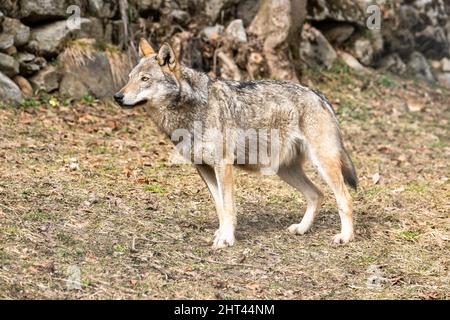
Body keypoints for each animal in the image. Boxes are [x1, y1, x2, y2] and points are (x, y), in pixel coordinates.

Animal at [114, 38, 356, 249]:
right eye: (130, 77)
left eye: (145, 79)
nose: (117, 96)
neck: (191, 109)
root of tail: (319, 94)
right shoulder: (203, 168)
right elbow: (220, 206)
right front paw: (222, 233)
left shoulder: (223, 165)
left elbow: (229, 206)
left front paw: (226, 239)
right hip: (285, 170)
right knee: (317, 195)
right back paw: (302, 229)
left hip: (322, 165)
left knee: (345, 198)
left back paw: (345, 237)